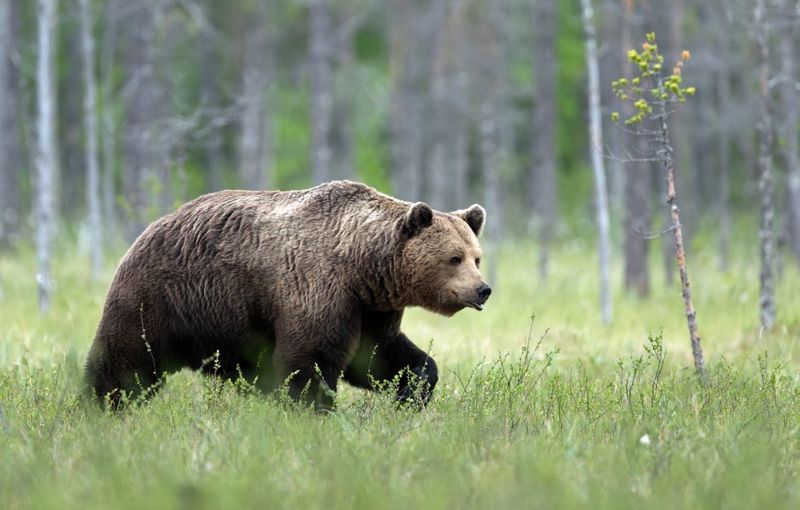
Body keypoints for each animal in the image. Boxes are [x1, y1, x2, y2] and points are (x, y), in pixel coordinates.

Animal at [85, 180, 491, 409]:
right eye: (453, 258)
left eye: (477, 257)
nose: (483, 289)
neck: (364, 267)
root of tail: (150, 228)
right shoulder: (318, 288)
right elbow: (309, 361)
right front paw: (314, 411)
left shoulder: (371, 309)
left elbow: (379, 356)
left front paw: (413, 393)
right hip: (160, 296)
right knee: (126, 360)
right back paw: (101, 405)